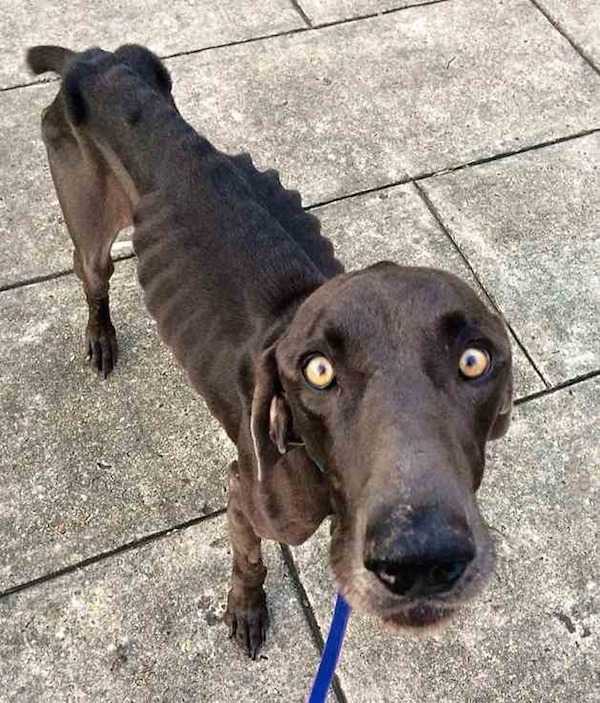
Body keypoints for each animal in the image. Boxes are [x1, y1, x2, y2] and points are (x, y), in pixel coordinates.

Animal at [28, 44, 512, 660]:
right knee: (91, 275)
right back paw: (100, 337)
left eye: (475, 360)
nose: (422, 560)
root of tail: (92, 60)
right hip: (89, 231)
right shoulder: (244, 493)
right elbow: (249, 559)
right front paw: (247, 609)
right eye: (319, 371)